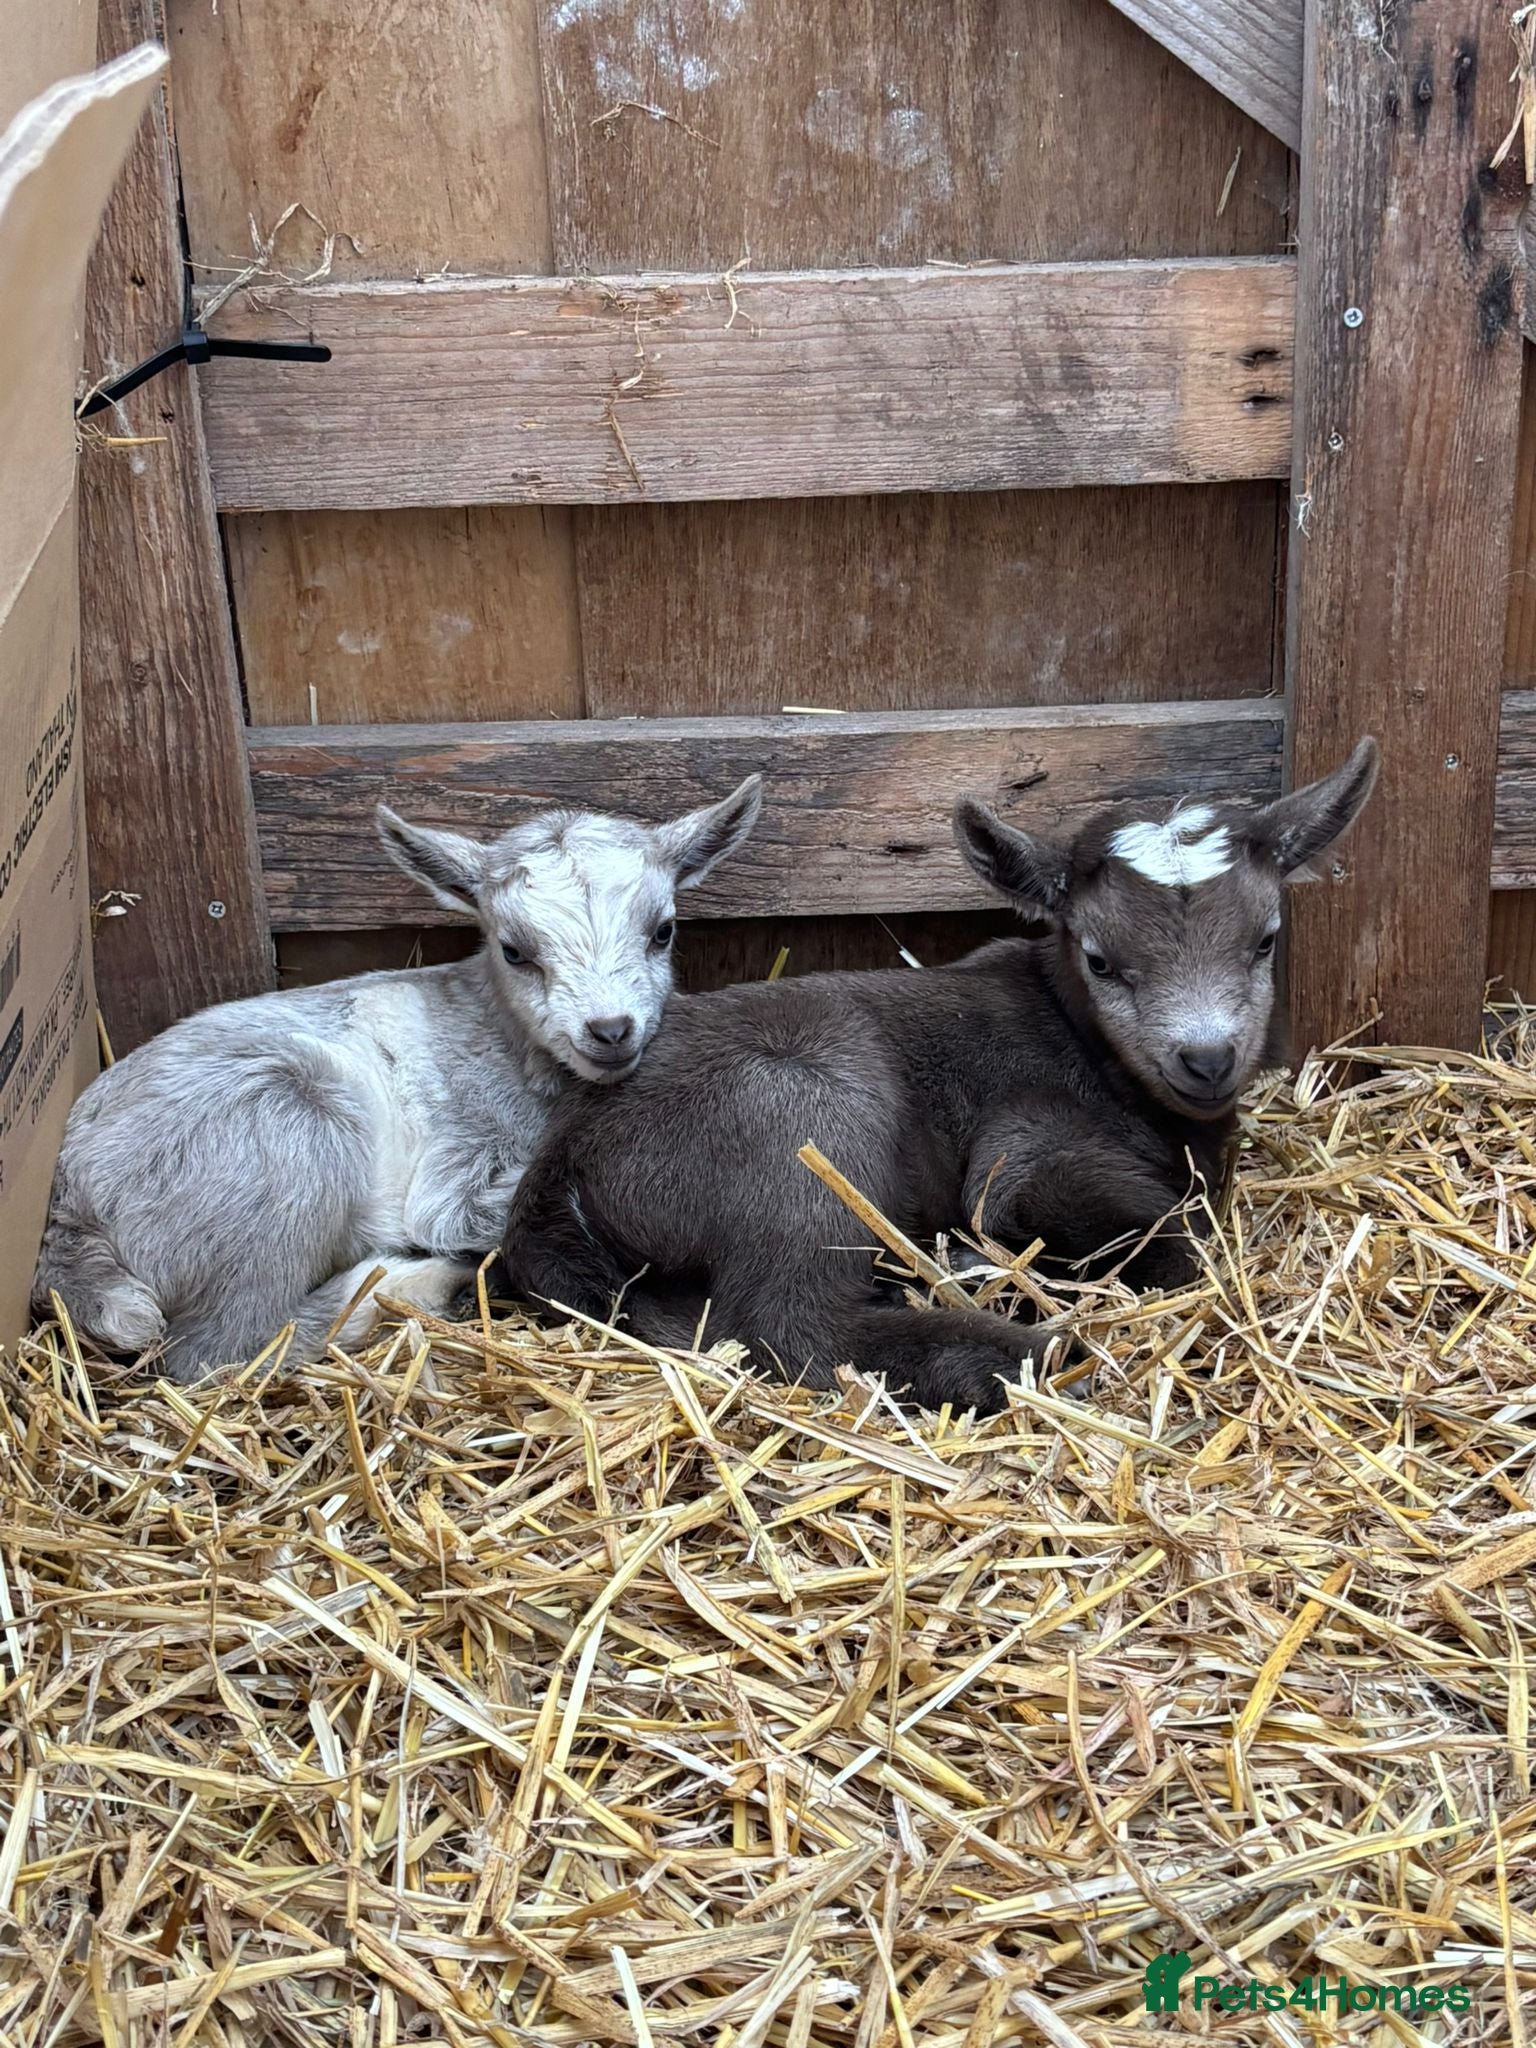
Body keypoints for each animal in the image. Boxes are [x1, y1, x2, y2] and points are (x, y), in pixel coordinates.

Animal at [33, 778, 762, 1381]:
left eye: (663, 931)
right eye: (513, 951)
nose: (610, 1030)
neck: (500, 1035)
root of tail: (67, 1212)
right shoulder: (456, 1160)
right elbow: (464, 1211)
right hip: (289, 1126)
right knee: (216, 1350)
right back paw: (415, 1283)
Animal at [501, 742, 1379, 1415]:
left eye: (1266, 939)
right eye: (1100, 959)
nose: (1207, 1057)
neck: (1083, 1045)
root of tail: (559, 1175)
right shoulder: (1024, 1149)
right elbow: (1170, 1242)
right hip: (800, 1122)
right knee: (794, 1327)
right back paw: (1025, 1353)